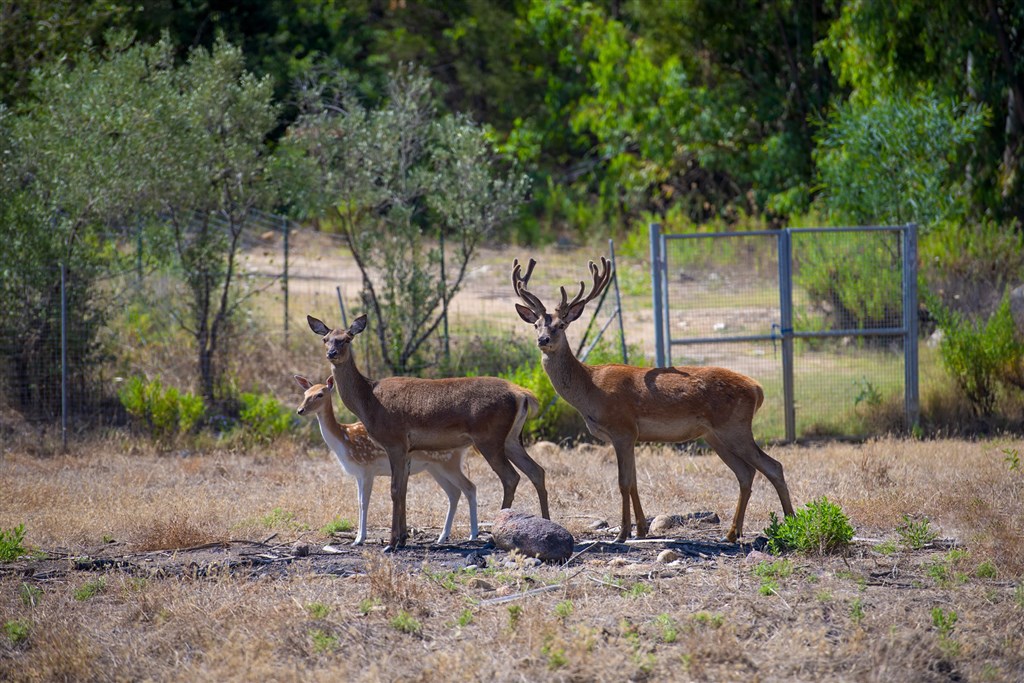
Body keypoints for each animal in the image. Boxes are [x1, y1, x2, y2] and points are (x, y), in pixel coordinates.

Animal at [305, 315, 552, 548]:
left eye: (347, 338)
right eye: (325, 339)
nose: (332, 353)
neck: (368, 403)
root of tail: (522, 394)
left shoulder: (395, 442)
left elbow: (395, 489)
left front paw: (392, 543)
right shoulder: (406, 449)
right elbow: (404, 490)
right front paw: (402, 539)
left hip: (489, 438)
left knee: (511, 477)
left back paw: (492, 538)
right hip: (511, 439)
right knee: (536, 470)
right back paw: (546, 522)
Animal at [516, 258, 794, 544]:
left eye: (561, 325)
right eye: (536, 325)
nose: (543, 340)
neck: (590, 390)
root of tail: (757, 389)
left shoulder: (623, 429)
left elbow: (623, 482)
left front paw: (623, 533)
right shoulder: (631, 436)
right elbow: (634, 481)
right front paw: (640, 529)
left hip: (735, 427)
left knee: (773, 466)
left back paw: (789, 523)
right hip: (714, 435)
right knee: (746, 472)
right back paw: (731, 533)